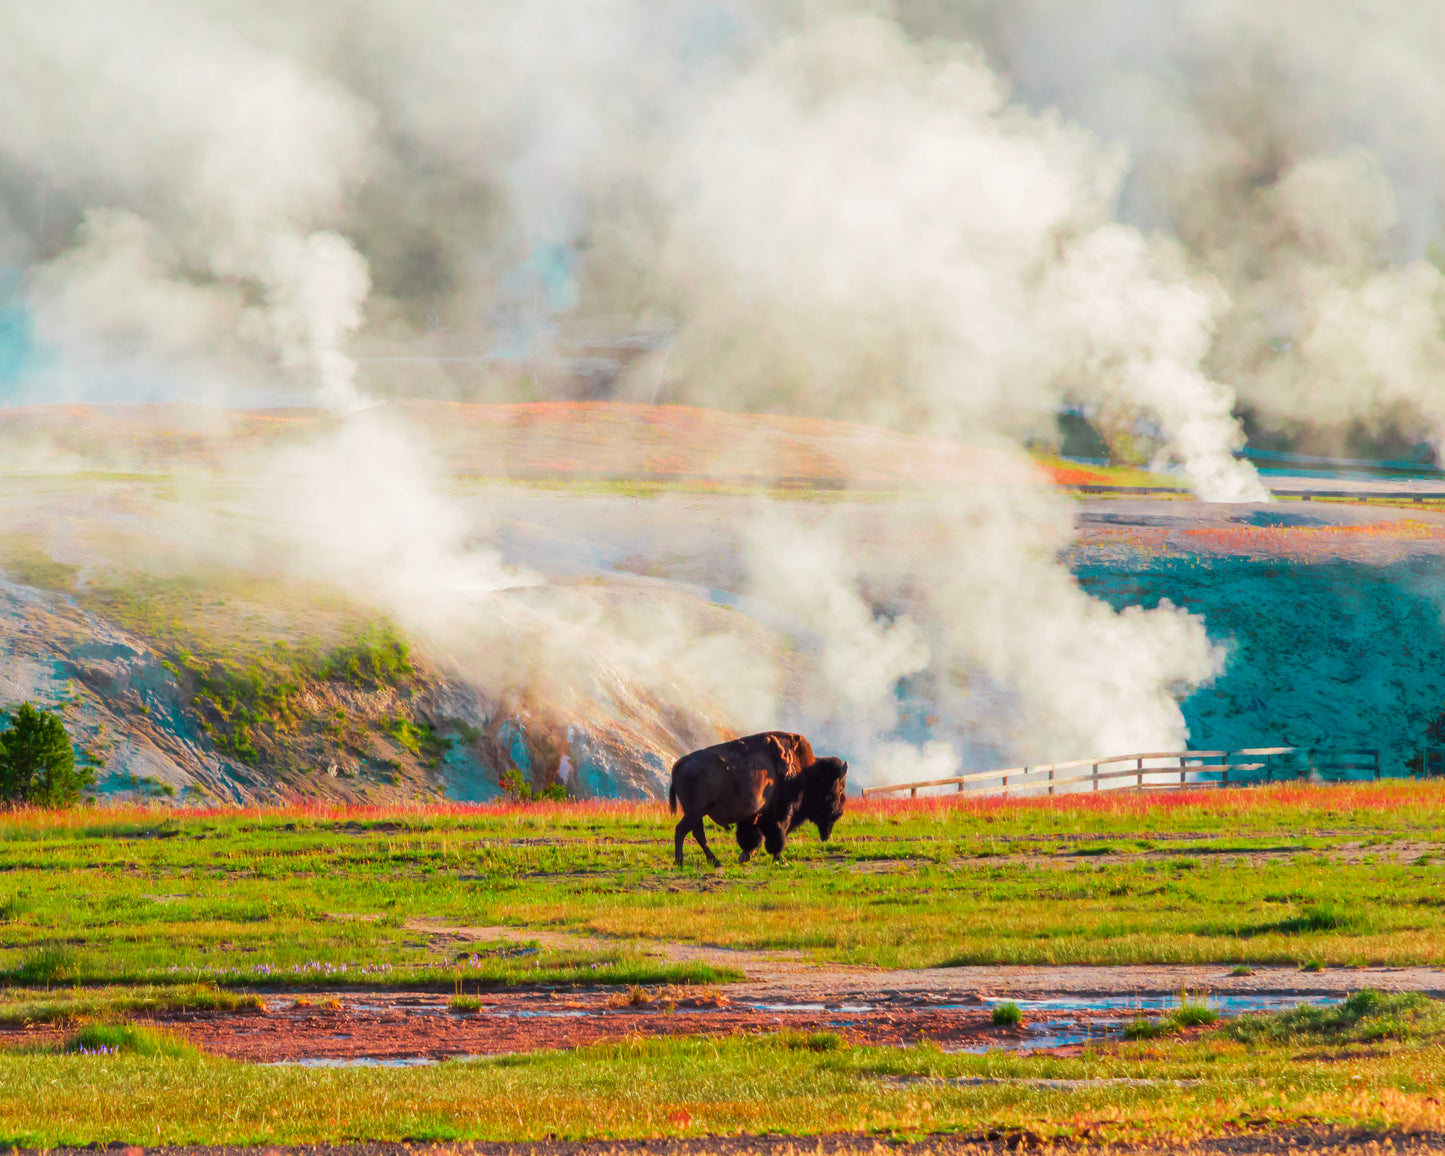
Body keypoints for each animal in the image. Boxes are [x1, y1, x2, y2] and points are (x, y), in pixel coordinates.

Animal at [668, 731, 848, 867]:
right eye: (838, 790)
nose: (839, 813)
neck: (805, 772)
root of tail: (680, 762)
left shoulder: (753, 816)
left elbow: (753, 836)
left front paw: (746, 855)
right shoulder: (780, 813)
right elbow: (777, 834)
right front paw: (776, 857)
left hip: (695, 814)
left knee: (696, 833)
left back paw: (713, 861)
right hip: (694, 813)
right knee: (682, 831)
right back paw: (681, 861)